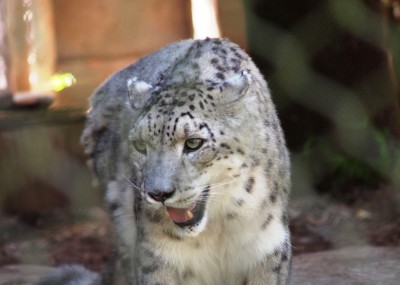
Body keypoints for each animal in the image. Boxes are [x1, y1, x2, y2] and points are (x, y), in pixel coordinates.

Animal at [37, 37, 292, 284]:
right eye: (141, 145)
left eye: (193, 143)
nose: (158, 194)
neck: (218, 226)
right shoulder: (158, 256)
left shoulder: (267, 248)